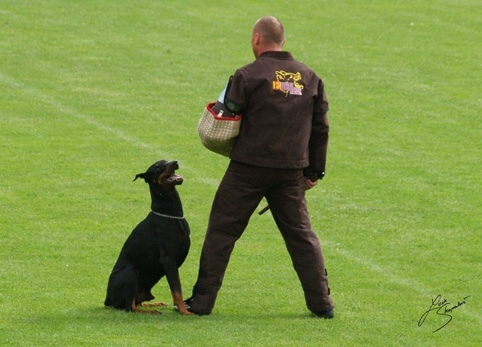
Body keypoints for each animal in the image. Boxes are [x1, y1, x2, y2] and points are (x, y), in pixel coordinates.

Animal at [104, 160, 193, 316]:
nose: (175, 162)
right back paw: (152, 311)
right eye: (157, 166)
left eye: (166, 160)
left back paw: (155, 304)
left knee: (136, 302)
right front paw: (185, 311)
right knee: (130, 307)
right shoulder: (168, 259)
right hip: (130, 271)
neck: (171, 214)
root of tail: (107, 299)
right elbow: (177, 290)